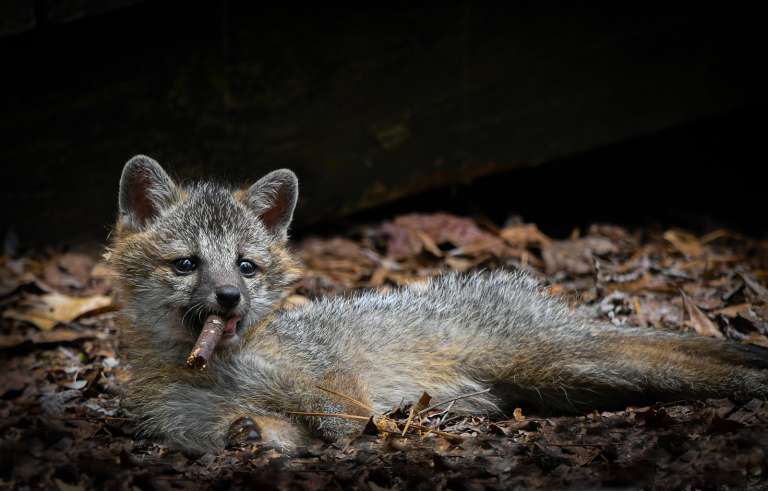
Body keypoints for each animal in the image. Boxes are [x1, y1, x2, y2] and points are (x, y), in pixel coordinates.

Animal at [108, 155, 768, 454]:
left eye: (246, 266)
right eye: (187, 264)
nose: (229, 296)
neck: (222, 369)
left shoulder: (333, 388)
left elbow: (347, 421)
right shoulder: (211, 426)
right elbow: (255, 431)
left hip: (566, 363)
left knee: (692, 363)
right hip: (565, 383)